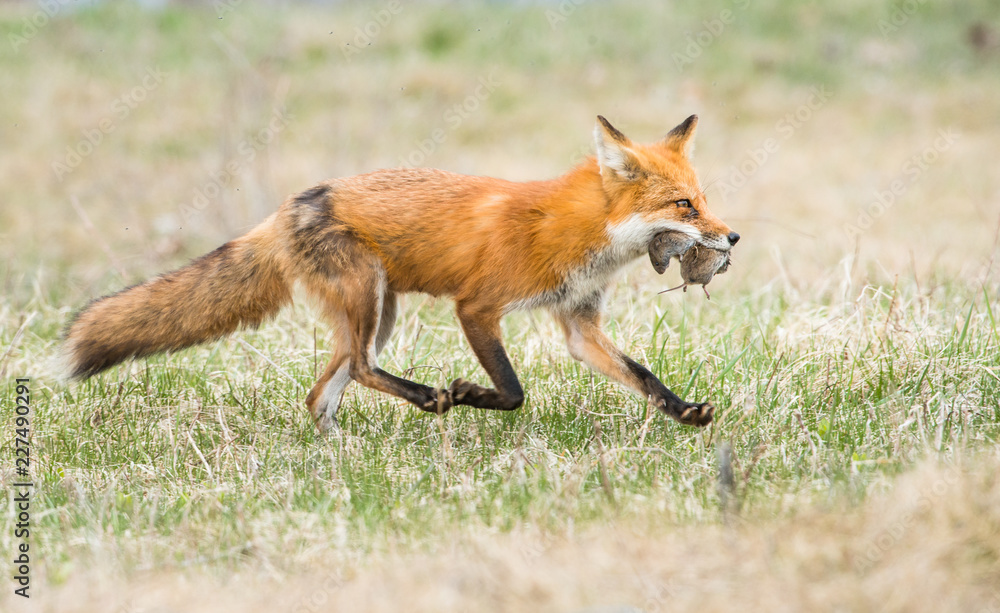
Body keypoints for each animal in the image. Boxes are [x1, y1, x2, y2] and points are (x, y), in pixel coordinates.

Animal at [64, 115, 739, 433]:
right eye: (685, 206)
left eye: (703, 201)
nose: (732, 237)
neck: (578, 231)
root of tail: (287, 207)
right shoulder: (477, 306)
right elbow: (513, 391)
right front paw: (472, 394)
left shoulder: (578, 323)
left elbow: (642, 374)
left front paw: (684, 412)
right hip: (369, 300)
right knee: (360, 370)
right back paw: (429, 398)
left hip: (376, 312)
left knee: (323, 390)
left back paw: (337, 459)